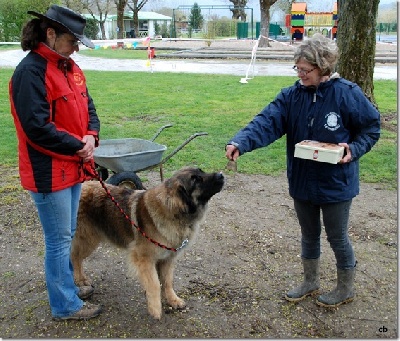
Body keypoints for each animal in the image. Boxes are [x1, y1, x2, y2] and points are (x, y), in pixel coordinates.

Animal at [70, 167, 223, 318]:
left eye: (202, 171)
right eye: (196, 180)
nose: (221, 175)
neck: (173, 212)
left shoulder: (167, 258)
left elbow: (167, 281)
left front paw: (173, 300)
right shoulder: (145, 258)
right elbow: (154, 283)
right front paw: (155, 308)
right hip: (88, 239)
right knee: (74, 257)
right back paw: (80, 280)